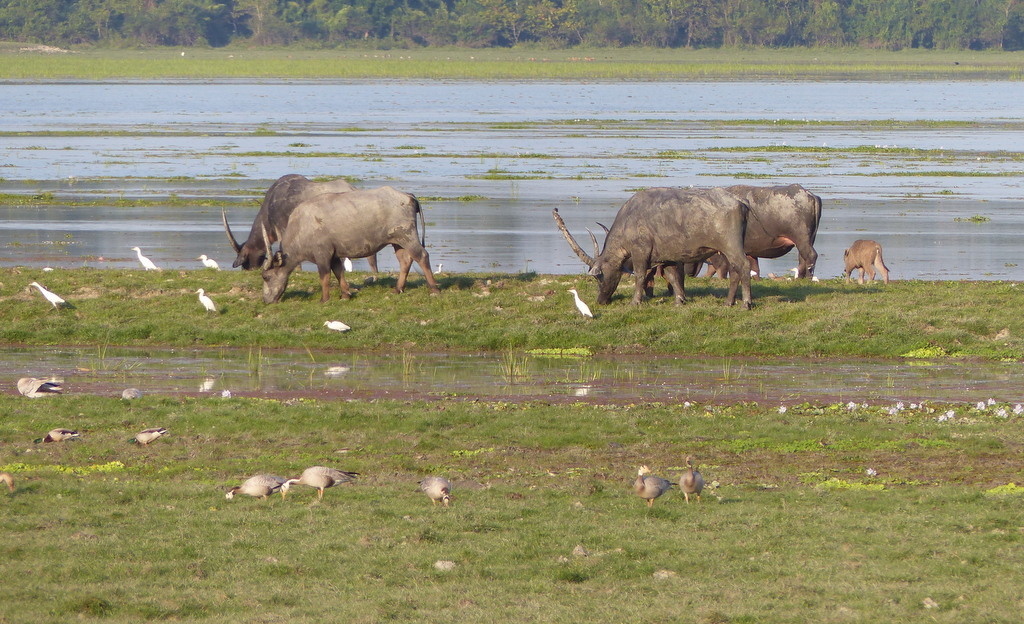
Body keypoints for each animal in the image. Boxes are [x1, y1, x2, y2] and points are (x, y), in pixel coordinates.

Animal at [262, 186, 438, 303]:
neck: (302, 226)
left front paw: (324, 299)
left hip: (407, 236)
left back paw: (434, 288)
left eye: (266, 277)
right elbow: (339, 272)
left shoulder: (322, 255)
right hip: (397, 241)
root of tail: (407, 196)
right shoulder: (334, 255)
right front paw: (346, 294)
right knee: (405, 261)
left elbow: (324, 277)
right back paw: (397, 289)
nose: (266, 300)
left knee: (422, 256)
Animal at [552, 187, 753, 309]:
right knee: (734, 271)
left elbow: (640, 276)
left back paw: (746, 303)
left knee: (744, 266)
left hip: (732, 247)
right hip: (726, 251)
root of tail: (739, 202)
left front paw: (635, 301)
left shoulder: (640, 252)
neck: (629, 220)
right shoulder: (668, 257)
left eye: (598, 277)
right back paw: (728, 302)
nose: (601, 301)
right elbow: (673, 277)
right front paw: (679, 300)